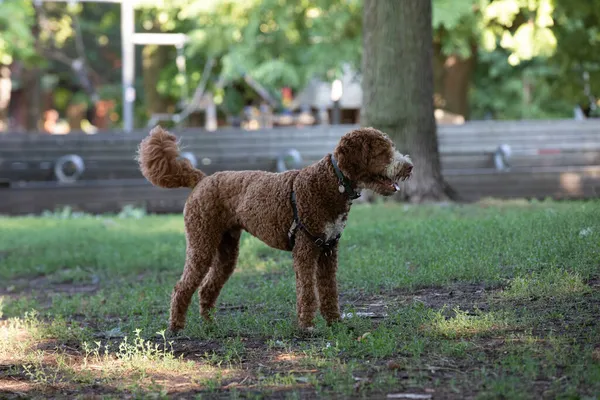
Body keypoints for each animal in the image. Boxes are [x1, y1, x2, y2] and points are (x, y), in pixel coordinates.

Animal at [138, 126, 412, 332]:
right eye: (382, 151)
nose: (409, 166)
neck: (332, 182)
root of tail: (202, 179)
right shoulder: (305, 249)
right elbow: (308, 292)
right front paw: (307, 326)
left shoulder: (328, 250)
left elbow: (329, 290)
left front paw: (334, 322)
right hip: (201, 242)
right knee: (182, 287)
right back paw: (176, 327)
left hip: (226, 250)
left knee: (207, 288)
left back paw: (210, 325)